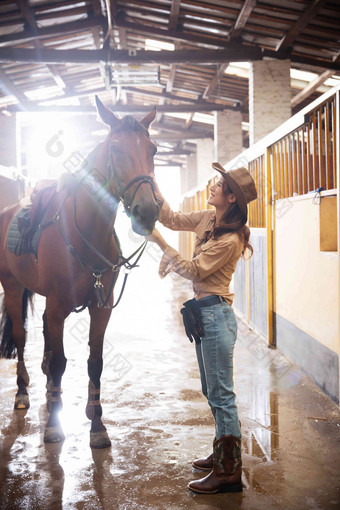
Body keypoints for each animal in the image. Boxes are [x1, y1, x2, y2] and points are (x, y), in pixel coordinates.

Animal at [0, 97, 159, 448]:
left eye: (153, 149)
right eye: (115, 149)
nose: (147, 211)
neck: (86, 231)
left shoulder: (101, 307)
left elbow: (94, 363)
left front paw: (97, 425)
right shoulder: (58, 304)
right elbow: (61, 362)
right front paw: (53, 427)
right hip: (14, 288)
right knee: (20, 337)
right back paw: (23, 392)